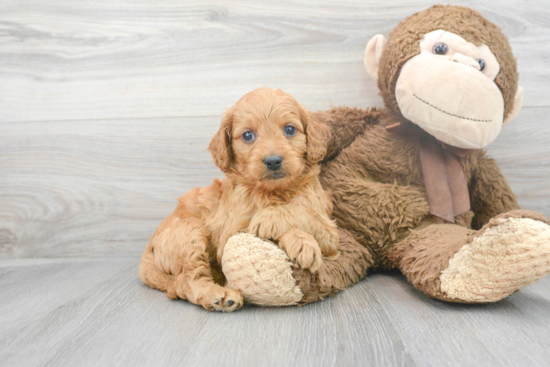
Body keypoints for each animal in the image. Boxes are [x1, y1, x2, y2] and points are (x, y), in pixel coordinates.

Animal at [139, 87, 336, 312]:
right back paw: (219, 296)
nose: (273, 161)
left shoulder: (331, 234)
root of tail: (147, 252)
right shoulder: (231, 234)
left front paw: (283, 227)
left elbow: (304, 214)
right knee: (186, 280)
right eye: (248, 135)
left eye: (289, 129)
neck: (272, 192)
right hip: (188, 234)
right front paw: (299, 241)